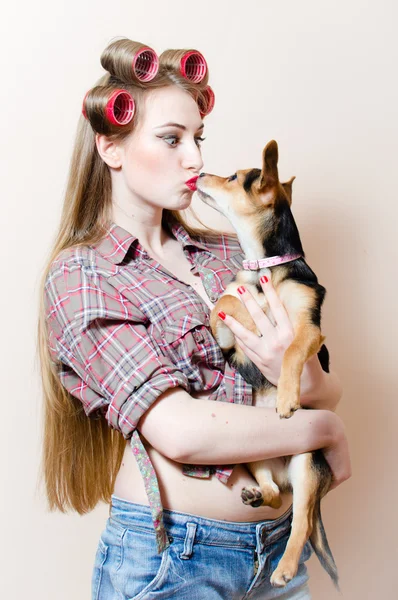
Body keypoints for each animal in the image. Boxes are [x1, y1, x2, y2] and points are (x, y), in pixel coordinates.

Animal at [196, 142, 338, 592]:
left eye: (233, 178)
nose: (199, 173)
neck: (265, 269)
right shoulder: (233, 335)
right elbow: (225, 302)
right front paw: (229, 310)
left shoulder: (309, 329)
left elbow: (290, 351)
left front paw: (289, 397)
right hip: (254, 457)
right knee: (277, 494)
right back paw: (257, 496)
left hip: (307, 464)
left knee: (300, 523)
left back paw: (286, 568)